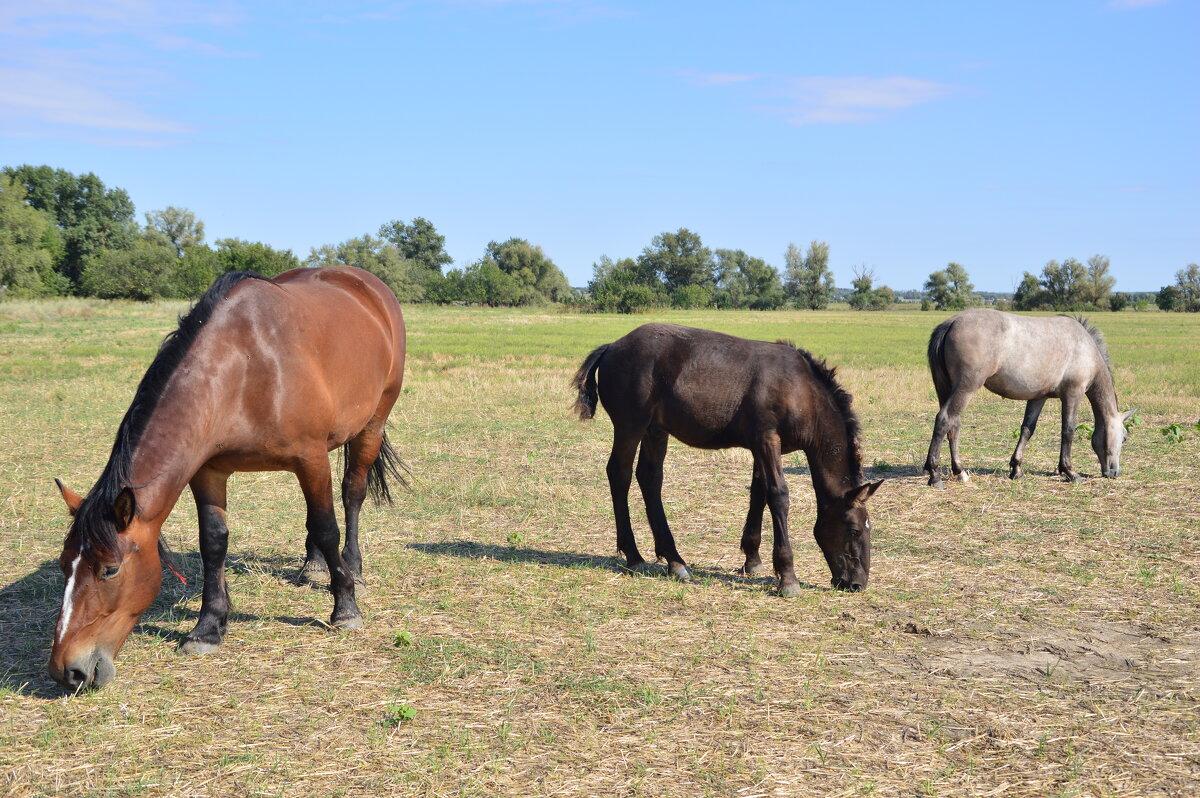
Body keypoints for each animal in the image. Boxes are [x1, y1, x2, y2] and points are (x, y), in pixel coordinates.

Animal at [50, 268, 408, 691]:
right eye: (63, 565)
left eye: (110, 569)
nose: (67, 671)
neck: (244, 367)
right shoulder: (209, 471)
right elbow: (214, 544)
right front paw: (207, 628)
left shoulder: (311, 458)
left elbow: (327, 527)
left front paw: (346, 608)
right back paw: (314, 565)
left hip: (372, 424)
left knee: (351, 494)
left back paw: (353, 569)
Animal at [571, 321, 883, 590]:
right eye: (854, 530)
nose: (857, 583)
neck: (801, 390)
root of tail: (612, 346)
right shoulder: (767, 439)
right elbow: (778, 495)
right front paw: (788, 577)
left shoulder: (762, 446)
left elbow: (759, 492)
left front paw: (753, 560)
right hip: (630, 425)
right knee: (619, 474)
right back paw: (634, 556)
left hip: (655, 430)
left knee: (649, 478)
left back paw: (674, 560)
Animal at [921, 309, 1128, 484]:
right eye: (1124, 438)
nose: (1114, 472)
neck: (1085, 348)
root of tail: (952, 322)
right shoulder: (1072, 394)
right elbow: (1068, 430)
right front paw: (1070, 471)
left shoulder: (1038, 397)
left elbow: (1027, 429)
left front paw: (1017, 469)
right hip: (966, 388)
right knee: (945, 420)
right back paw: (935, 475)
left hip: (950, 389)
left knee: (953, 426)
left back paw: (960, 471)